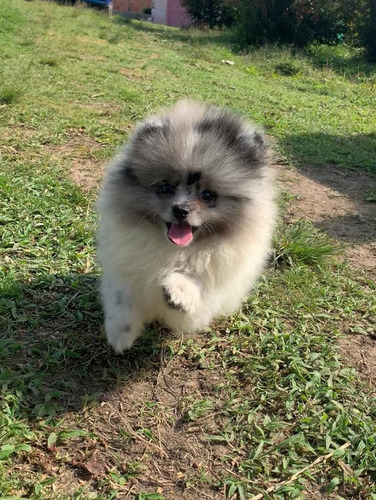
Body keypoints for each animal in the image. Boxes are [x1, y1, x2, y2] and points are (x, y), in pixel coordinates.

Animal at [96, 100, 276, 352]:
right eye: (165, 187)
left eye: (207, 195)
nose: (181, 210)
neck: (175, 251)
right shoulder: (124, 269)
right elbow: (122, 300)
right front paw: (120, 335)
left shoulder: (208, 294)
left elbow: (193, 288)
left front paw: (177, 290)